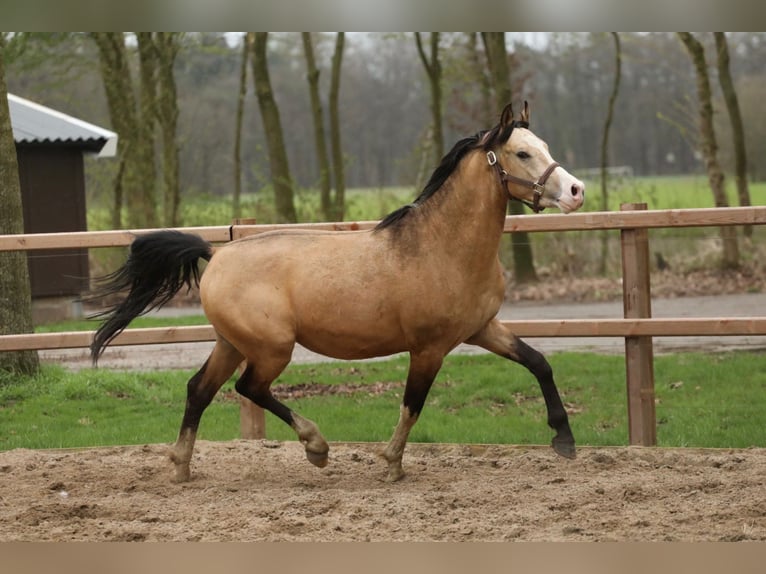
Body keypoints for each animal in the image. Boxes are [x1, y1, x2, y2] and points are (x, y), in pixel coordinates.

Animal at [93, 102, 592, 482]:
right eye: (522, 153)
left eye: (544, 148)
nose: (576, 190)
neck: (442, 247)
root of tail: (216, 255)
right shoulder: (429, 349)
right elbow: (412, 405)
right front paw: (391, 464)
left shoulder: (482, 329)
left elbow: (539, 363)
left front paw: (564, 439)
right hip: (271, 348)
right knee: (249, 387)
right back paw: (316, 446)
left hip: (231, 343)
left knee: (200, 389)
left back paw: (181, 466)